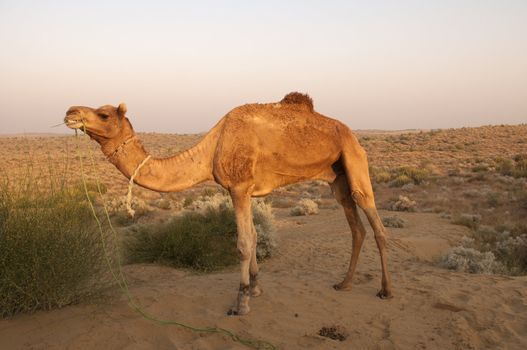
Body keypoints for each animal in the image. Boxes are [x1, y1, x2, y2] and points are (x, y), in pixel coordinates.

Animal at [64, 92, 392, 314]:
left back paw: (385, 290)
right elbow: (255, 236)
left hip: (354, 158)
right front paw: (256, 289)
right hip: (337, 178)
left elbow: (243, 242)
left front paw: (241, 302)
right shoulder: (244, 191)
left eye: (104, 115)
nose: (70, 111)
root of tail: (351, 133)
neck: (211, 148)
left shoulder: (239, 187)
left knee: (376, 224)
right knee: (356, 227)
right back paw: (344, 284)